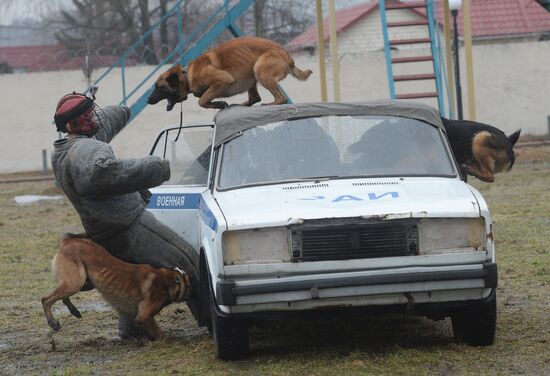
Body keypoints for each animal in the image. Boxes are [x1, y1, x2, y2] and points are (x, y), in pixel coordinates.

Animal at [41, 234, 192, 340]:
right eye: (189, 285)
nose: (193, 292)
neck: (165, 280)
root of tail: (70, 242)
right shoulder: (144, 316)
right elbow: (158, 332)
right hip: (76, 282)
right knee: (46, 299)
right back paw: (52, 322)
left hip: (83, 283)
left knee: (62, 295)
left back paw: (74, 311)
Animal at [148, 36, 314, 110]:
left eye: (159, 88)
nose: (148, 100)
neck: (186, 76)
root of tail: (287, 56)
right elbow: (202, 99)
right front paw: (218, 103)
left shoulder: (223, 80)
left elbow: (201, 100)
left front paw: (217, 103)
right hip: (252, 77)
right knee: (255, 98)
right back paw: (240, 104)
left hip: (260, 70)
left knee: (280, 99)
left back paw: (269, 103)